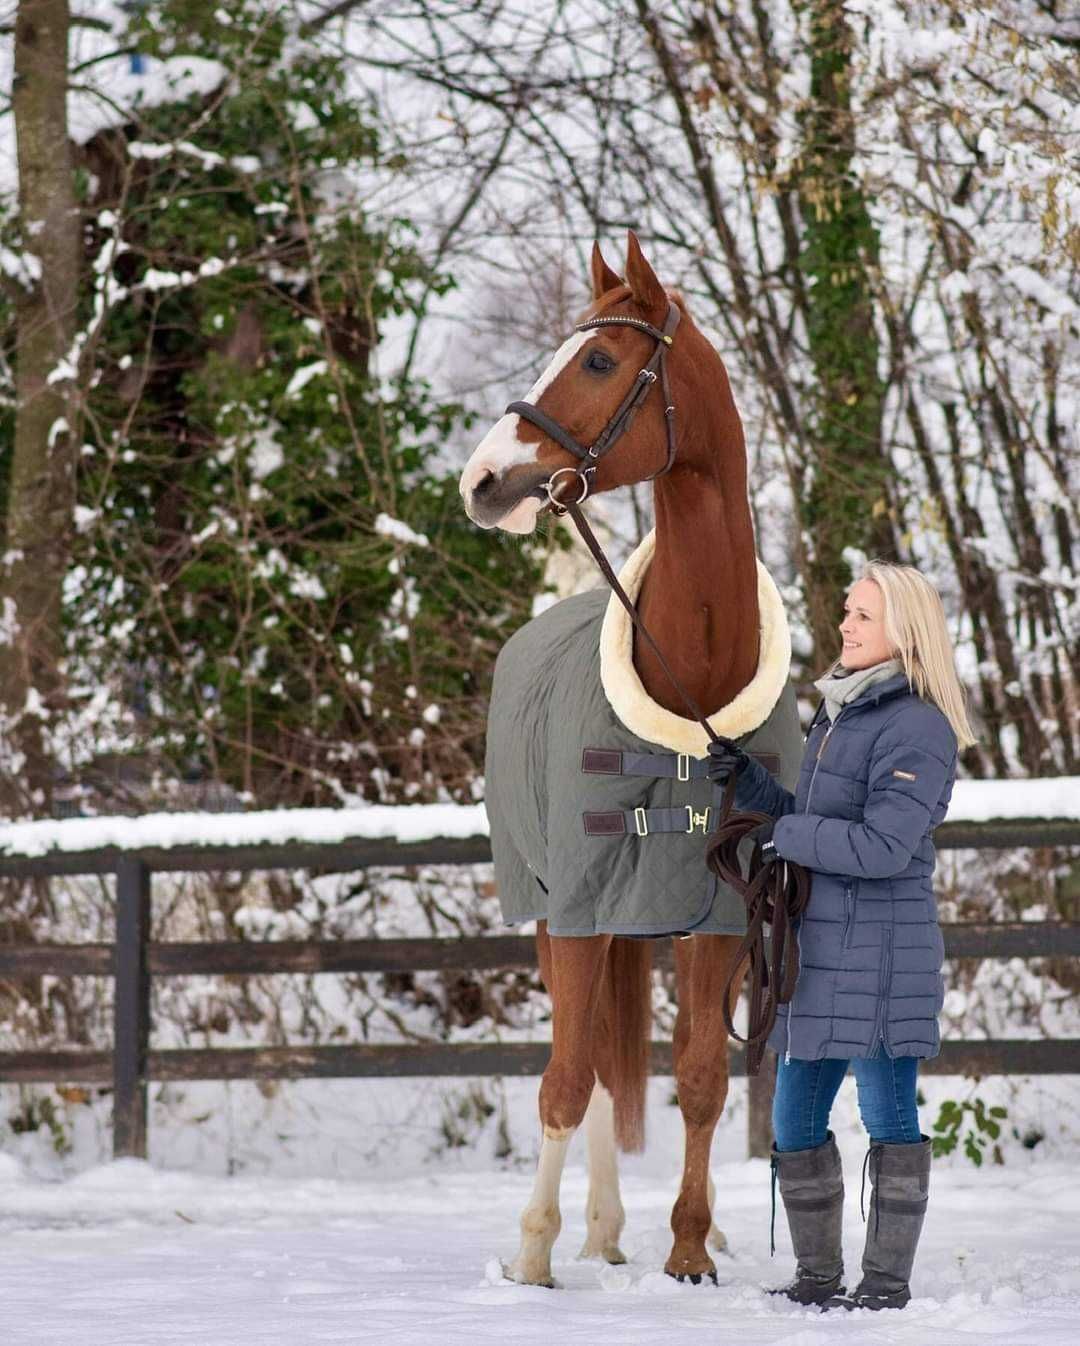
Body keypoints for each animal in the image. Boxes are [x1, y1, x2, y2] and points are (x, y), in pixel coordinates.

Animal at [458, 233, 799, 1287]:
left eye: (601, 360)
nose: (481, 481)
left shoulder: (725, 908)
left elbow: (699, 1076)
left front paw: (691, 1248)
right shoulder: (577, 906)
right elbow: (567, 1081)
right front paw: (532, 1256)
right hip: (553, 906)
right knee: (597, 1069)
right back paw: (592, 1228)